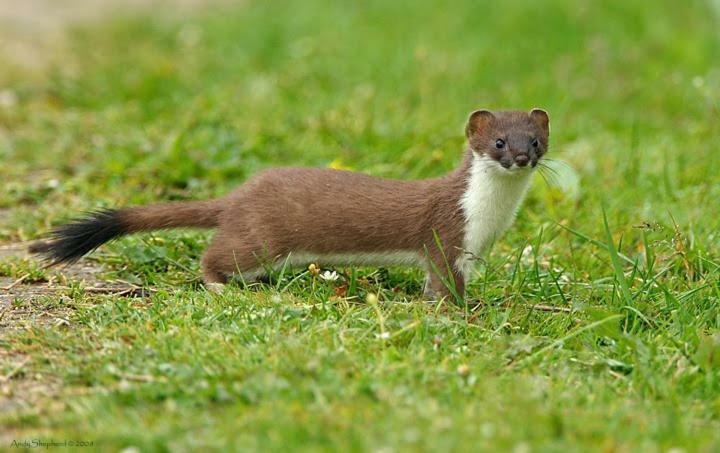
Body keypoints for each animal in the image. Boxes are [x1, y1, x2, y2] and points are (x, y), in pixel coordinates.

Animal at [31, 109, 552, 300]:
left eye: (536, 139)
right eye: (499, 141)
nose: (523, 157)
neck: (491, 220)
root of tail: (241, 193)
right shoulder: (447, 236)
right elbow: (445, 283)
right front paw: (464, 312)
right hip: (259, 240)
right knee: (215, 257)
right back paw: (222, 287)